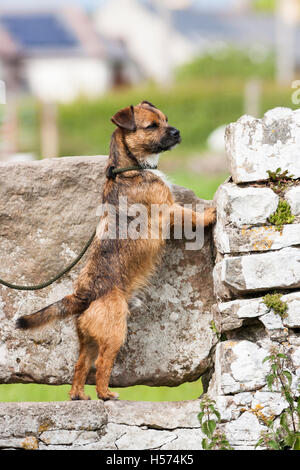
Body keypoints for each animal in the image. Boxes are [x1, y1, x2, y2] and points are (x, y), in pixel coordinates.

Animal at [16, 102, 216, 400]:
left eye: (166, 119)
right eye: (152, 126)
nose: (177, 132)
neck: (127, 168)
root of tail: (83, 295)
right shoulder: (169, 209)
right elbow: (191, 215)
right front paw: (211, 214)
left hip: (87, 339)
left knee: (81, 364)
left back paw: (79, 395)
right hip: (114, 332)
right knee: (102, 363)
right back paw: (106, 394)